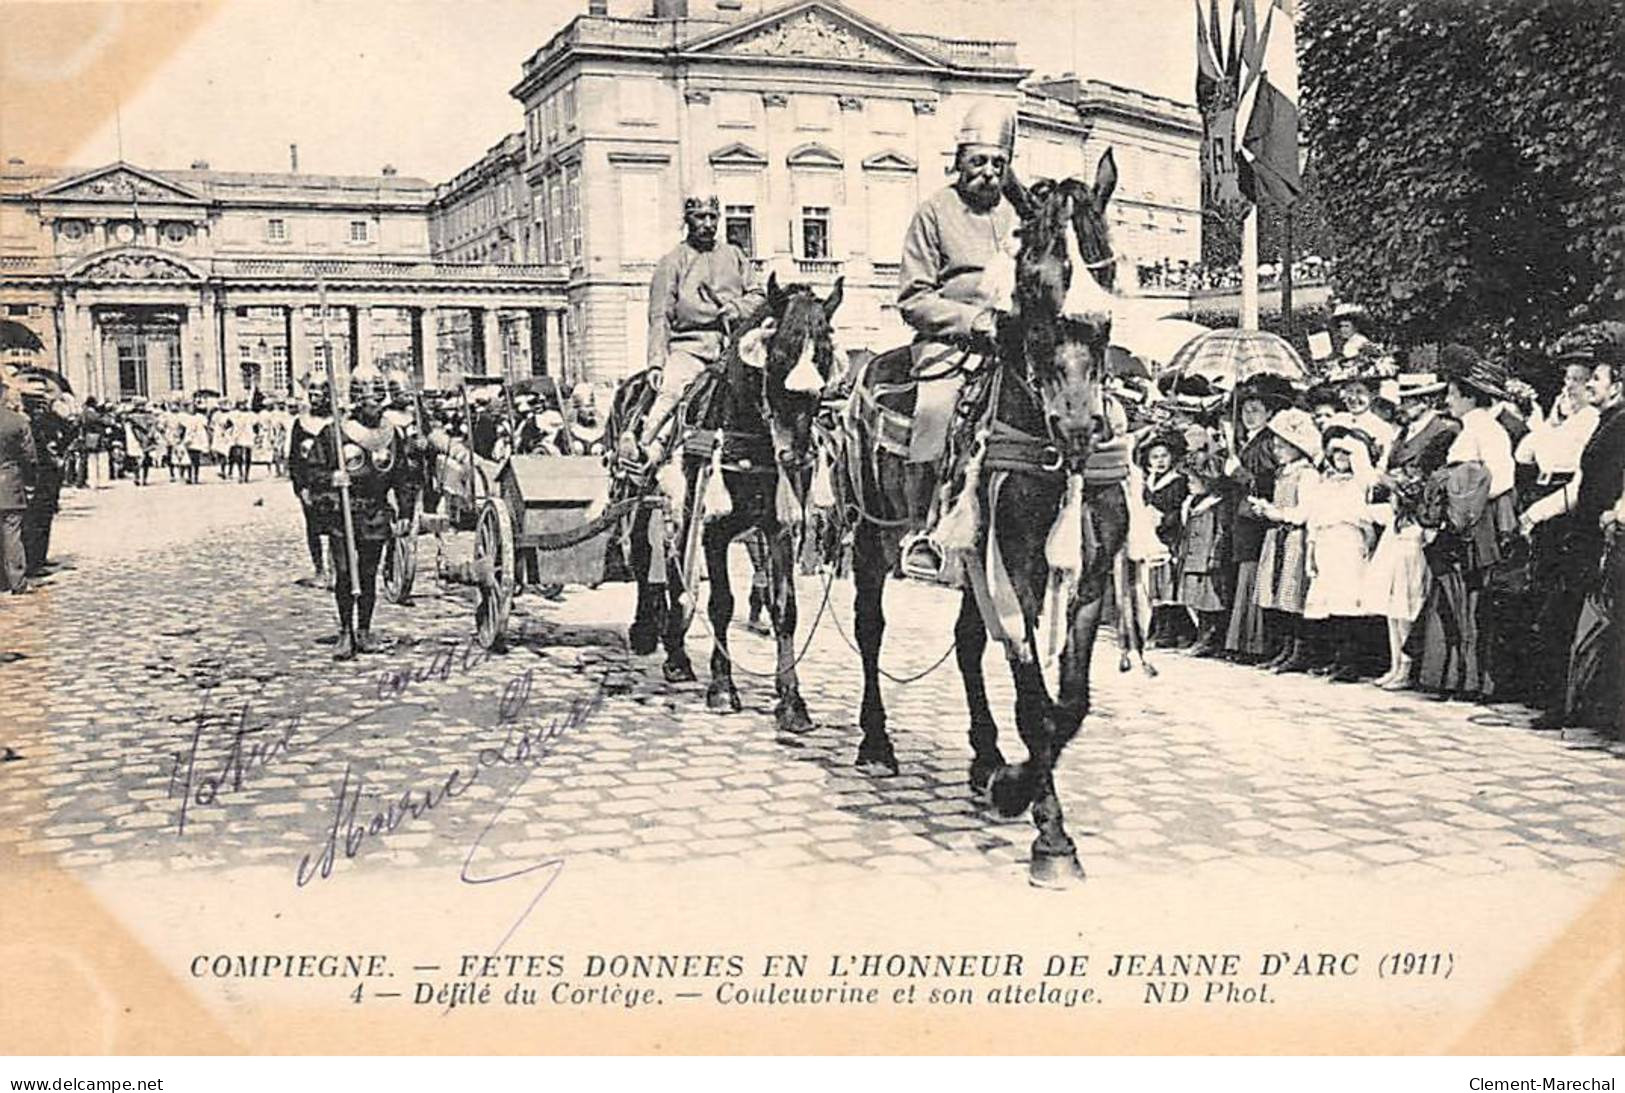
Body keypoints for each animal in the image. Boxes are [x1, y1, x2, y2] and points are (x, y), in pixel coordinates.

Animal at [838, 151, 1131, 883]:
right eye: (1031, 282)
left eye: (1106, 267)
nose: (1078, 426)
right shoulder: (1013, 571)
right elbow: (1036, 706)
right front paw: (1047, 831)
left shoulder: (1089, 579)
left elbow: (1070, 704)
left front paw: (1011, 781)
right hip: (872, 540)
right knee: (870, 629)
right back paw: (876, 740)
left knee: (968, 644)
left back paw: (984, 755)